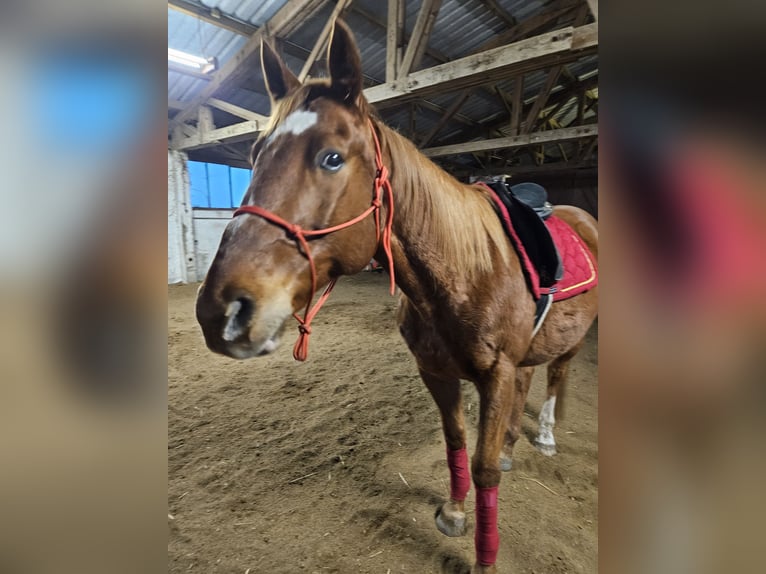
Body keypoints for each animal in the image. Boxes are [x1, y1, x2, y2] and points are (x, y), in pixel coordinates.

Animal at [194, 19, 600, 574]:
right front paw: (454, 511)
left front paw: (485, 556)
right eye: (254, 157)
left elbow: (485, 467)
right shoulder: (436, 372)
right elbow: (456, 443)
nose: (221, 311)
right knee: (531, 379)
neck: (465, 272)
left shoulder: (495, 375)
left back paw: (546, 436)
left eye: (332, 157)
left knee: (557, 377)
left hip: (572, 340)